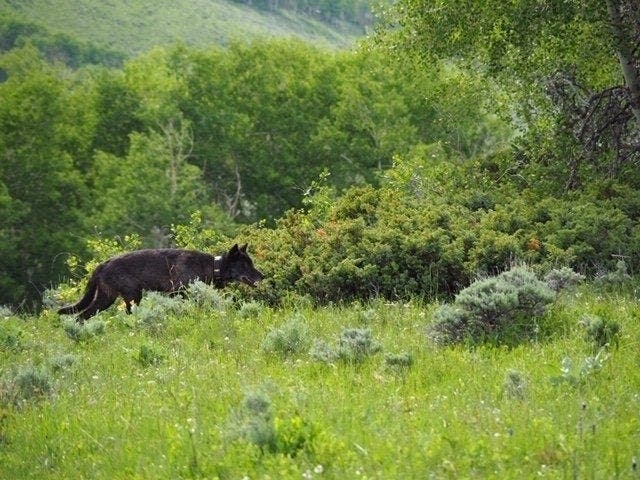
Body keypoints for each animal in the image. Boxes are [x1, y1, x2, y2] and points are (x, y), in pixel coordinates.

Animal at [57, 244, 264, 322]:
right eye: (246, 265)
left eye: (251, 263)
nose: (263, 277)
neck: (213, 266)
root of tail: (102, 264)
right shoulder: (178, 293)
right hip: (132, 296)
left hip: (105, 299)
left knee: (81, 316)